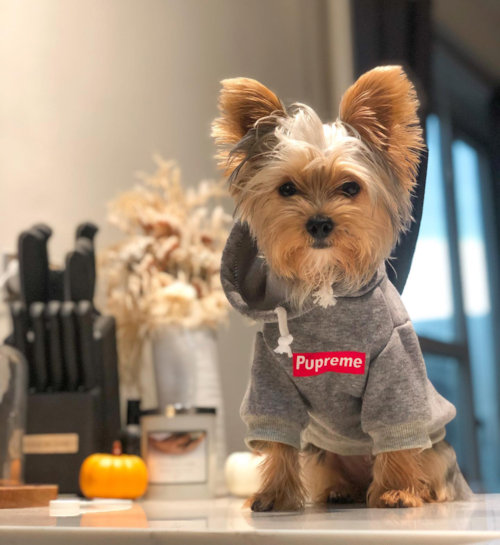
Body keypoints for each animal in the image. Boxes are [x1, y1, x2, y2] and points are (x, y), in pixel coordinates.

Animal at [213, 66, 470, 508]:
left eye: (350, 188)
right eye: (286, 189)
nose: (319, 222)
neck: (325, 281)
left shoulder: (394, 361)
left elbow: (395, 426)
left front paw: (397, 491)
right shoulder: (269, 373)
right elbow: (277, 431)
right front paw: (275, 494)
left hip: (436, 451)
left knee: (425, 463)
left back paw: (417, 488)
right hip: (323, 452)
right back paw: (340, 490)